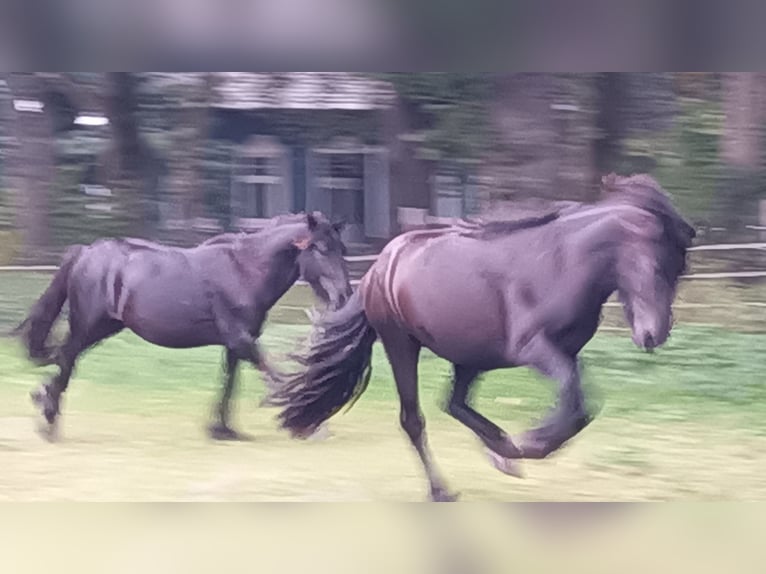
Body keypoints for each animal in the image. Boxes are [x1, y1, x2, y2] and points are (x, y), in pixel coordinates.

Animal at [13, 212, 352, 441]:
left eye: (341, 249)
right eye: (320, 248)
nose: (344, 295)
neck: (244, 271)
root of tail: (85, 252)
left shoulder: (236, 343)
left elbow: (230, 382)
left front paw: (222, 430)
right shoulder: (240, 339)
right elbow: (274, 375)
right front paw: (312, 423)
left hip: (103, 328)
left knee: (65, 358)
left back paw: (43, 404)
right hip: (87, 325)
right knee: (66, 358)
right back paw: (48, 417)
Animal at [266, 174, 696, 501]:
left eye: (680, 268)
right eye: (655, 264)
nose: (654, 334)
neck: (562, 263)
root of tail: (378, 269)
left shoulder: (566, 352)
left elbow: (580, 404)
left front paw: (516, 449)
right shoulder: (534, 348)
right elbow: (577, 403)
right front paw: (529, 445)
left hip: (470, 357)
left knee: (453, 403)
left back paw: (500, 450)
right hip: (401, 343)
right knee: (414, 419)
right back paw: (444, 488)